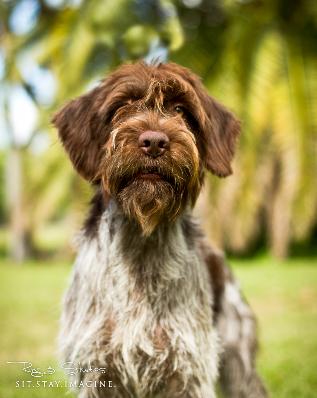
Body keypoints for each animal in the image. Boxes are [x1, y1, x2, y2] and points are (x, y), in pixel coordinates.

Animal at [52, 61, 266, 398]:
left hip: (239, 360)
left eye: (180, 109)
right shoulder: (97, 371)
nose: (154, 141)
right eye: (122, 106)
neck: (142, 241)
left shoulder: (186, 371)